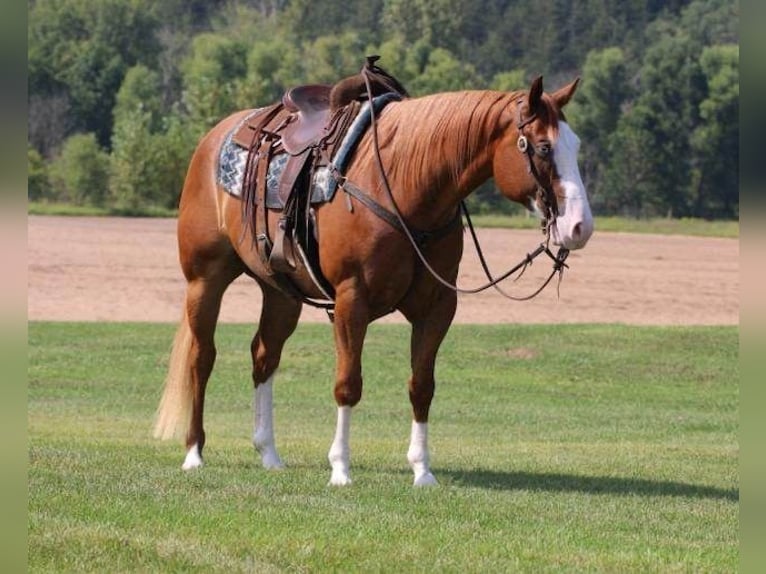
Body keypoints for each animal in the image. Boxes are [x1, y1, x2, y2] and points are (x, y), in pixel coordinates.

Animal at [154, 72, 592, 486]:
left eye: (576, 146)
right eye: (542, 147)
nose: (579, 226)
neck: (403, 186)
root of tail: (216, 136)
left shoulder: (438, 306)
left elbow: (422, 386)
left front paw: (422, 471)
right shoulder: (352, 300)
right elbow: (348, 383)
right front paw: (340, 469)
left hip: (281, 293)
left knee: (264, 357)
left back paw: (269, 454)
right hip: (205, 279)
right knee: (202, 357)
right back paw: (194, 452)